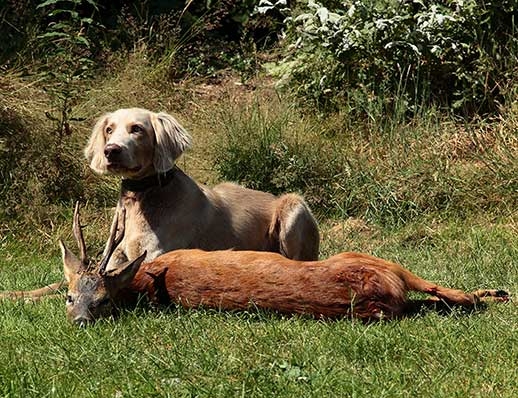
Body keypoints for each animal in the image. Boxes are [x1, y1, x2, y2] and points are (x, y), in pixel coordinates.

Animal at [59, 205, 510, 326]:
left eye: (99, 299)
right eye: (70, 296)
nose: (80, 319)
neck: (152, 281)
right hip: (372, 260)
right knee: (440, 291)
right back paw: (493, 293)